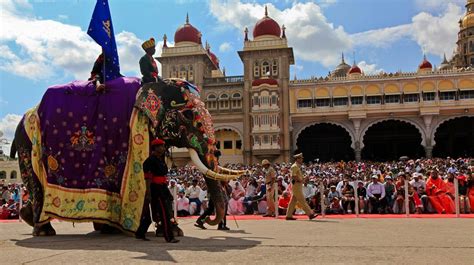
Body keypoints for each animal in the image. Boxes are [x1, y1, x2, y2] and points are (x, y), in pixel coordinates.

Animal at [10, 76, 244, 235]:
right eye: (187, 115)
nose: (210, 221)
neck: (154, 84)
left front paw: (170, 231)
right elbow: (147, 181)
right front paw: (163, 230)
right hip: (27, 144)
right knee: (35, 183)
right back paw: (43, 230)